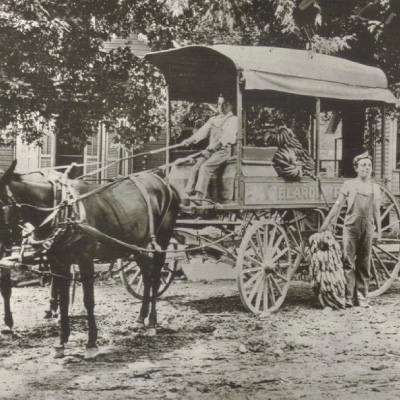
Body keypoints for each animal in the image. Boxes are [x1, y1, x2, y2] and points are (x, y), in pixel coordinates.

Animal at [0, 161, 180, 358]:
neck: (63, 211)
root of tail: (164, 183)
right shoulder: (58, 262)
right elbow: (63, 300)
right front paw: (61, 341)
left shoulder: (85, 260)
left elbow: (88, 301)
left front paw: (91, 343)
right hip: (137, 246)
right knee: (146, 277)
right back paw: (141, 317)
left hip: (161, 243)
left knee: (155, 278)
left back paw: (152, 323)